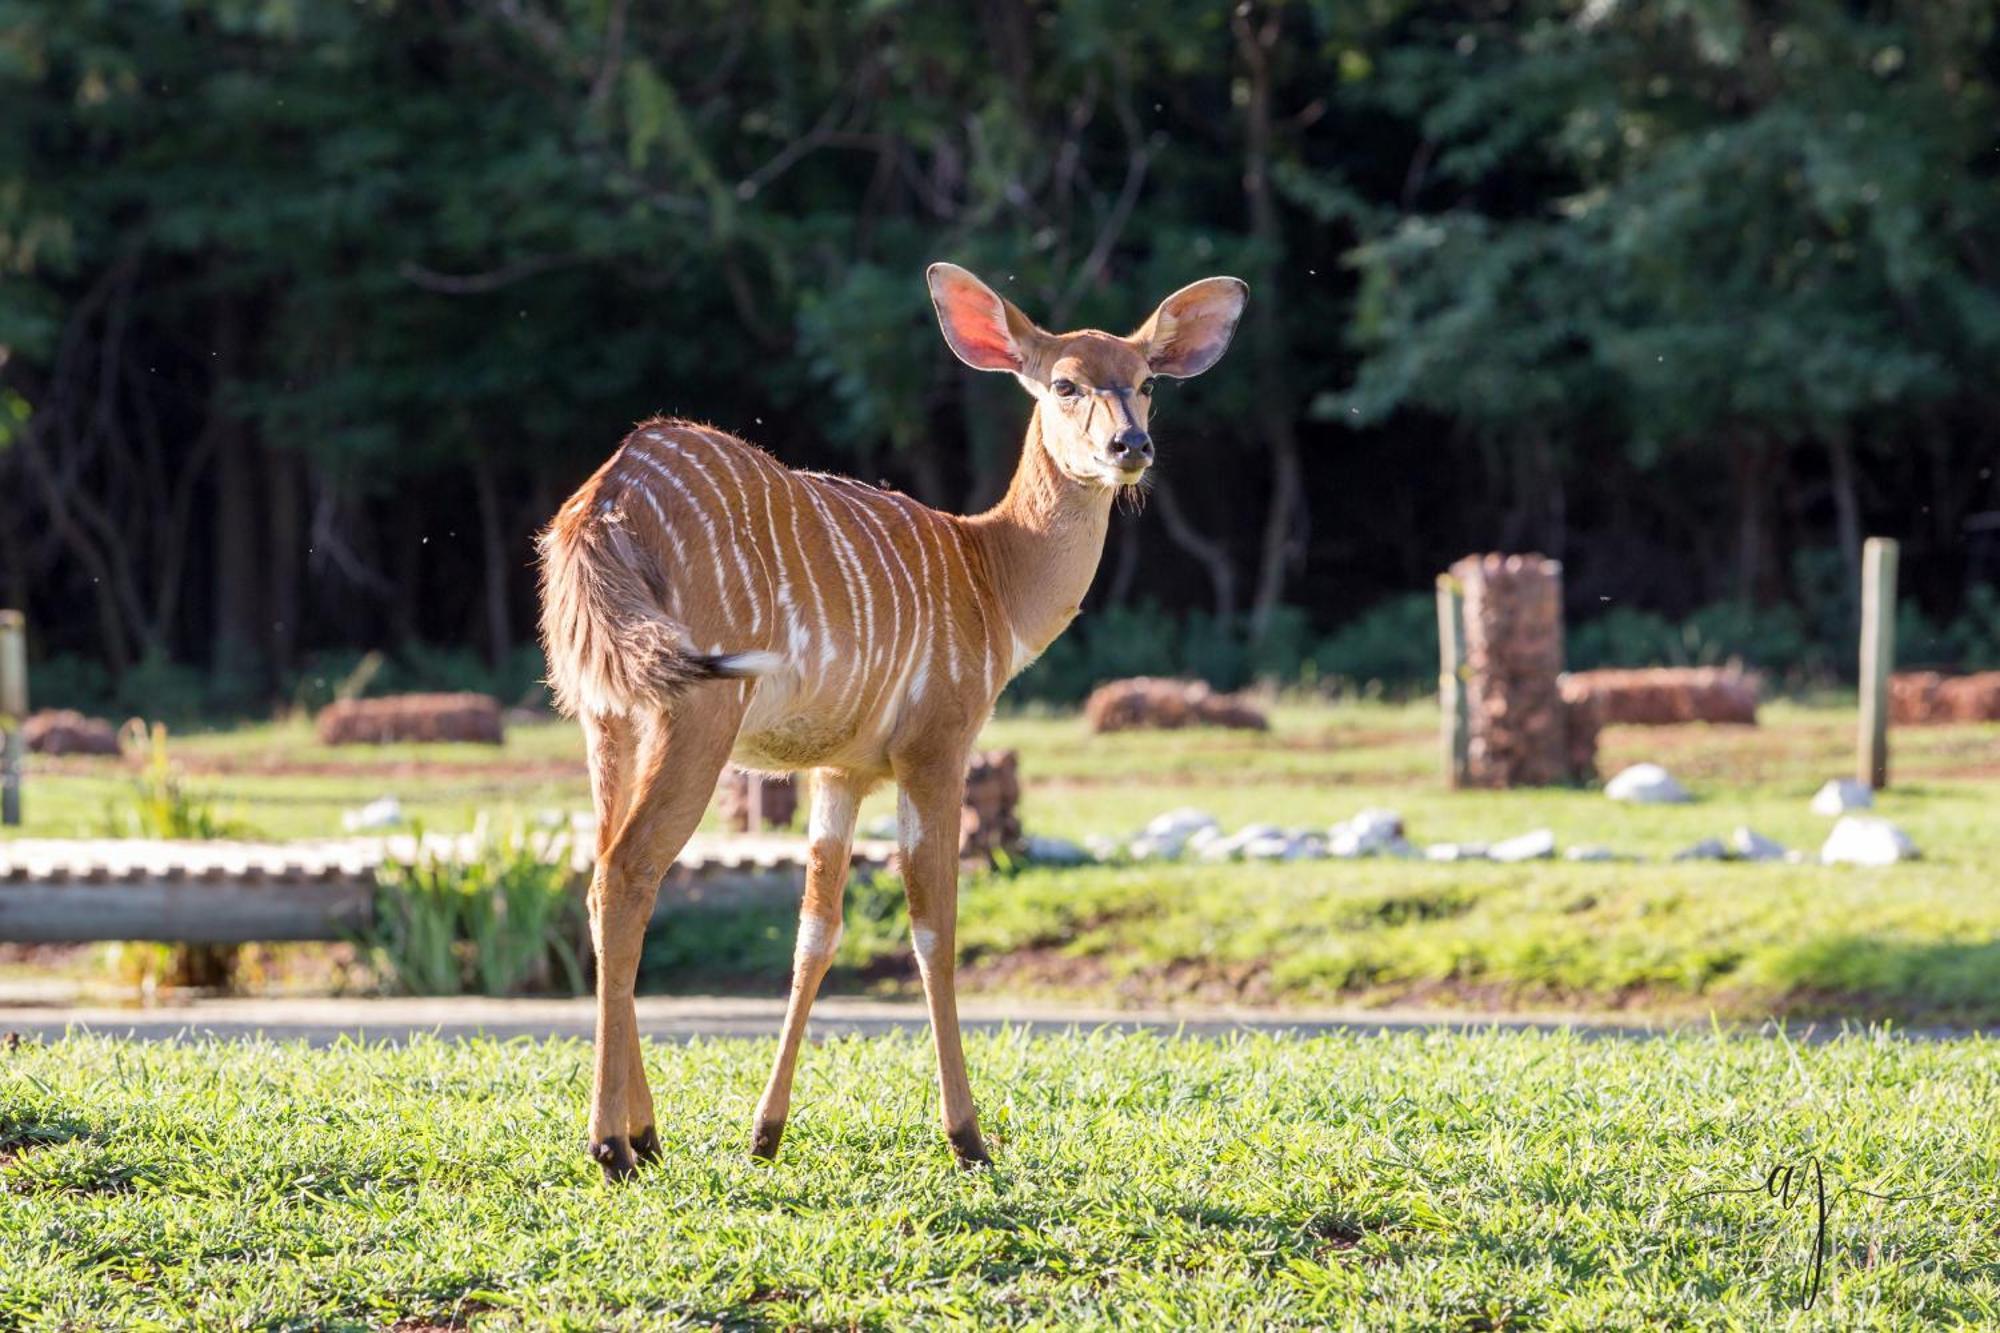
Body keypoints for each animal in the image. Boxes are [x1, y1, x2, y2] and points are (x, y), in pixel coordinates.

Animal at [540, 260, 1240, 1176]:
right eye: (1064, 383)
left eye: (1148, 381)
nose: (1131, 447)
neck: (993, 576)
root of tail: (608, 497)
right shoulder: (936, 745)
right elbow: (934, 928)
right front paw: (969, 1137)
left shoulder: (840, 770)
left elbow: (814, 933)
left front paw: (765, 1134)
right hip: (697, 710)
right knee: (628, 874)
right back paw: (611, 1146)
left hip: (608, 714)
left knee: (602, 874)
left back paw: (647, 1134)